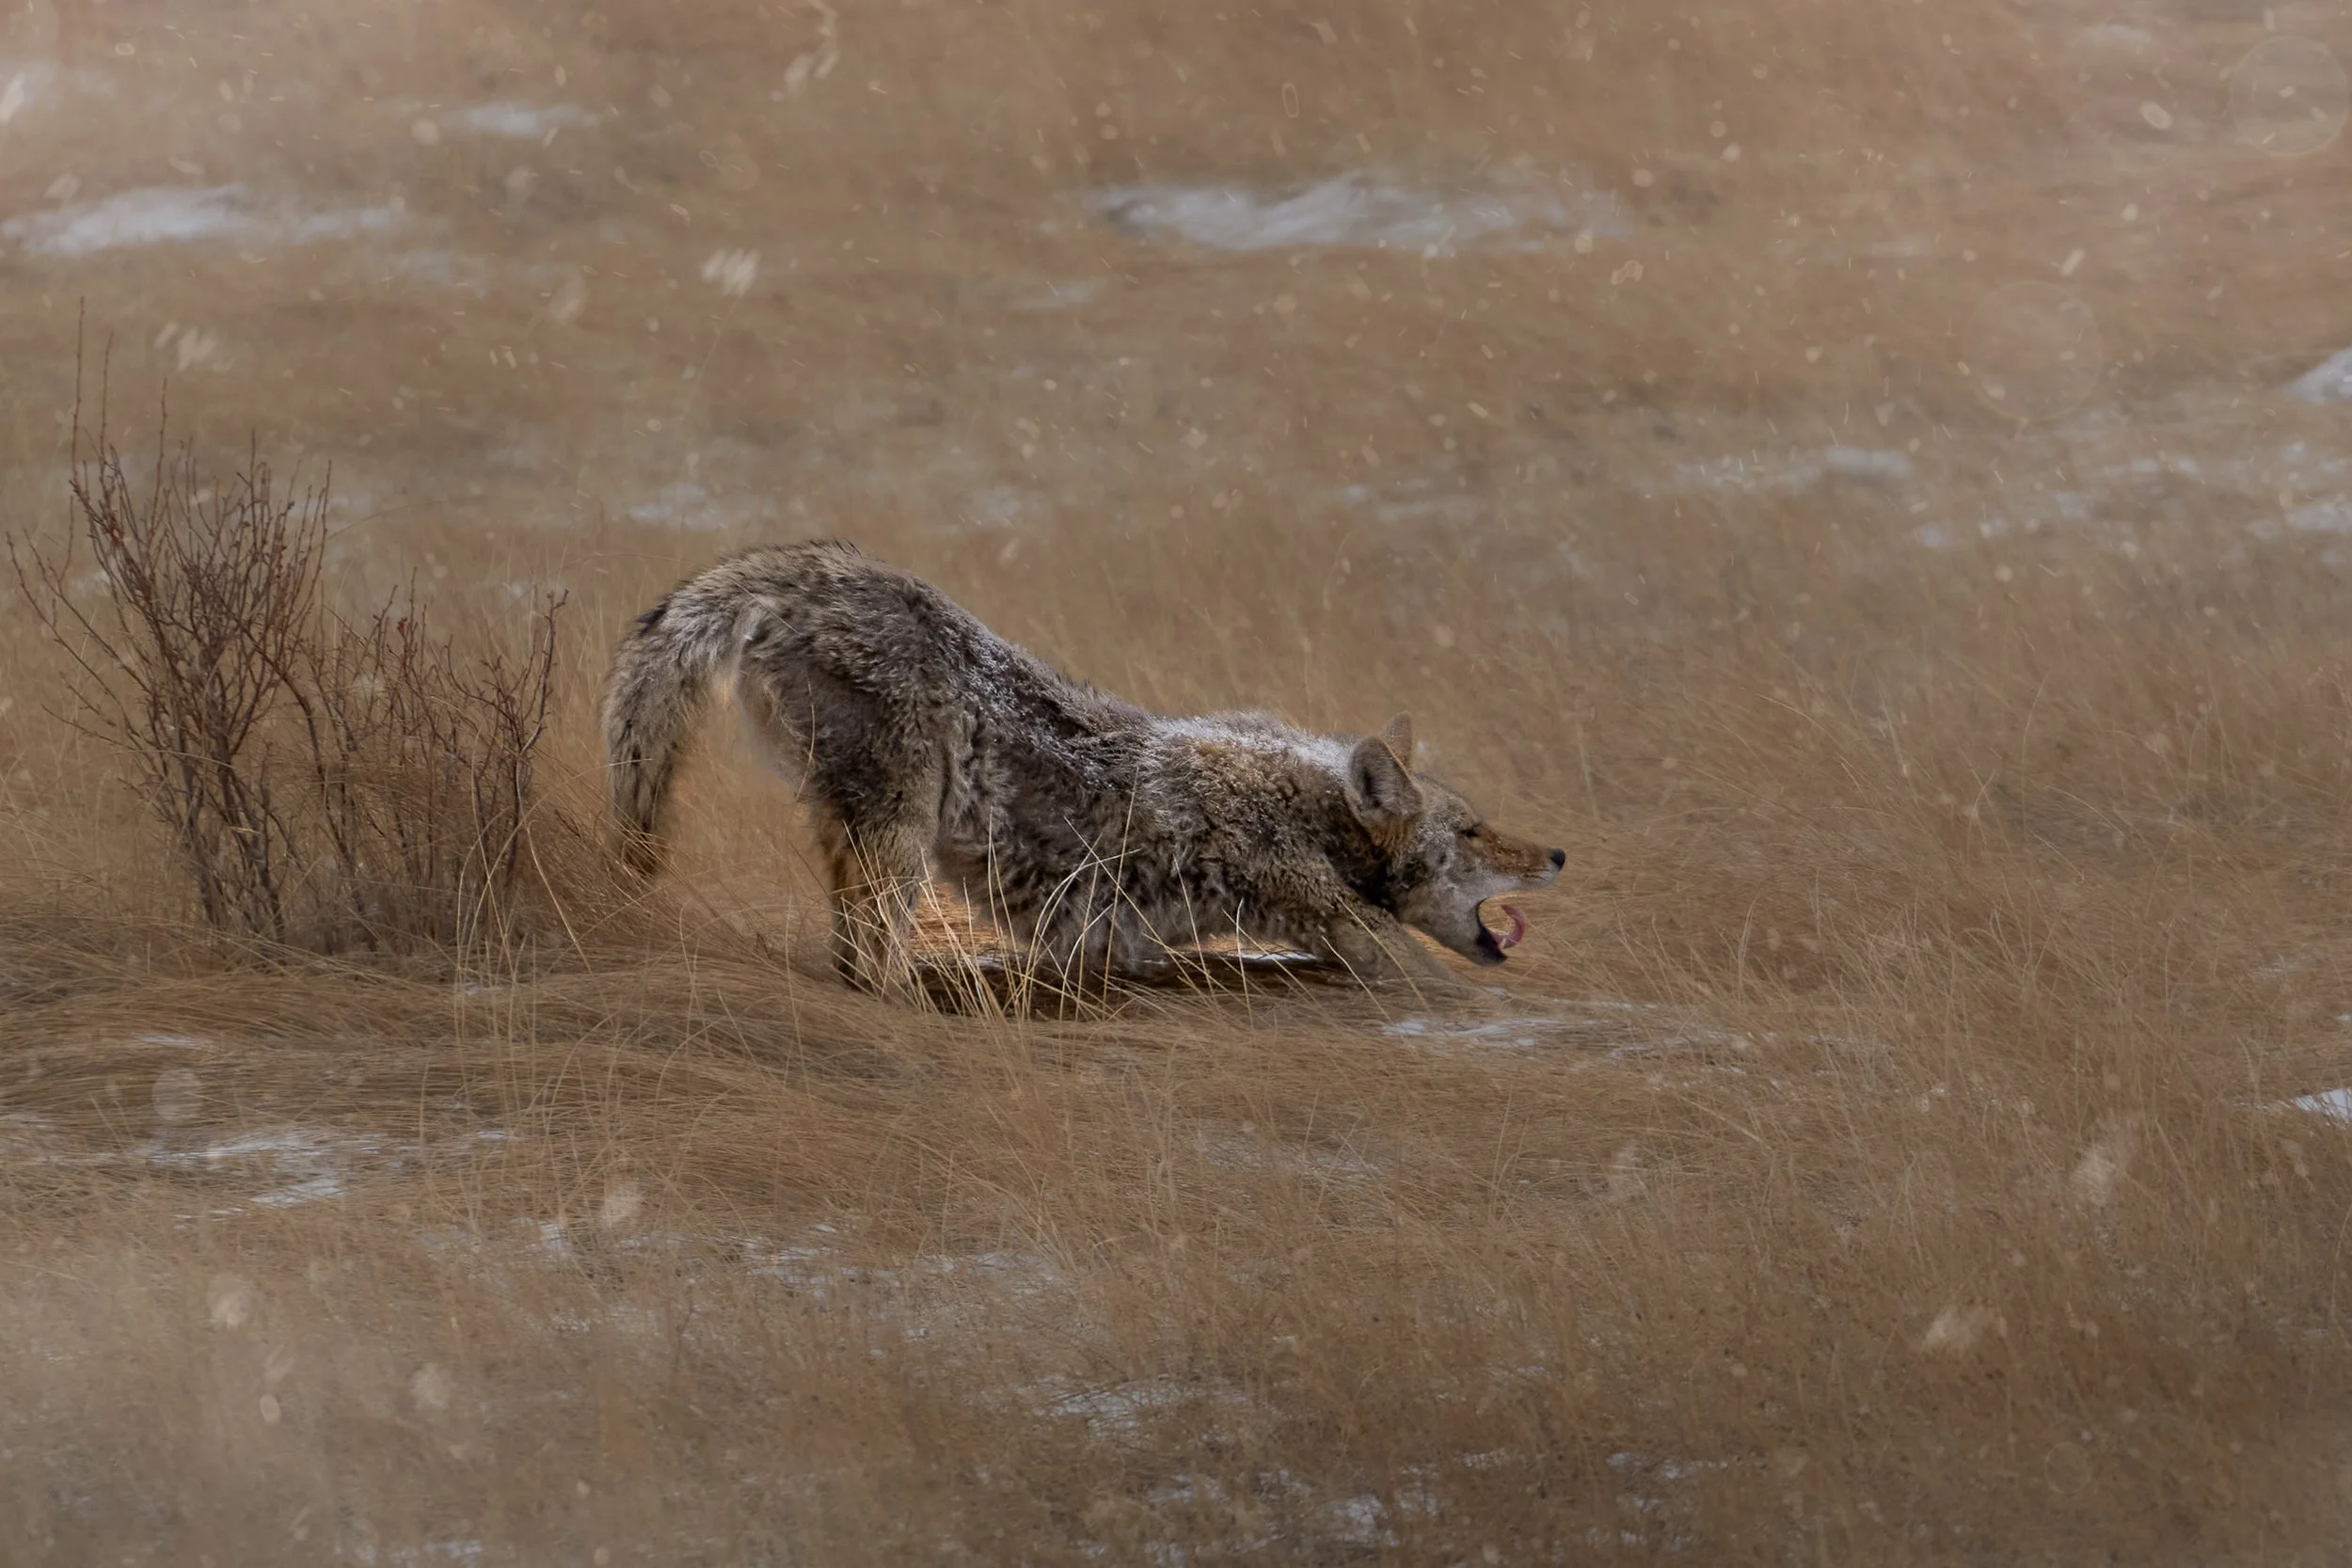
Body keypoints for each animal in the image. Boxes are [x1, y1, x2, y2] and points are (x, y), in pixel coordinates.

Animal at [603, 540, 1564, 997]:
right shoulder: (1349, 932)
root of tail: (816, 568)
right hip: (901, 841)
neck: (1303, 803)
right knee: (870, 959)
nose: (1559, 854)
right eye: (1474, 830)